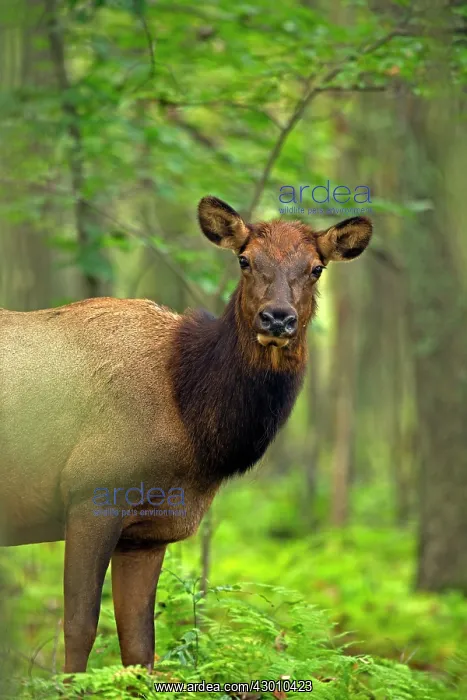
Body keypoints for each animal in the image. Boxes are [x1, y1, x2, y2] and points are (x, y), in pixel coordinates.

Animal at [0, 196, 372, 674]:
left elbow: (140, 647)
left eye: (316, 268)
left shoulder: (147, 532)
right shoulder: (89, 494)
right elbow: (79, 630)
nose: (277, 318)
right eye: (244, 259)